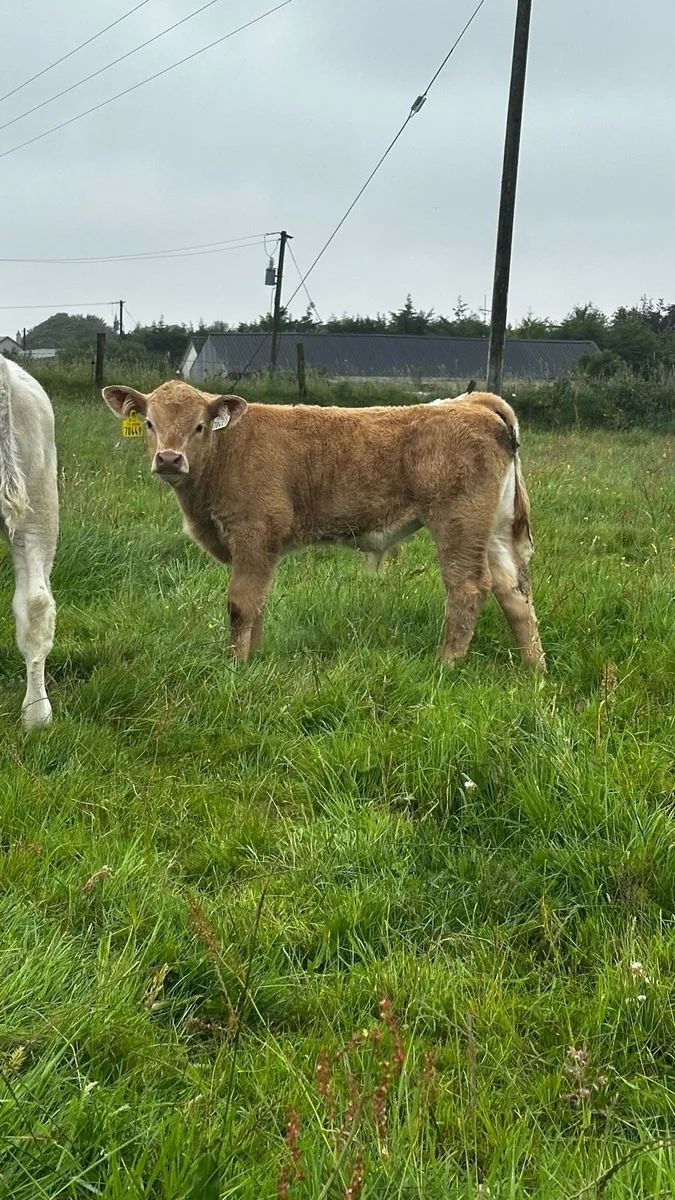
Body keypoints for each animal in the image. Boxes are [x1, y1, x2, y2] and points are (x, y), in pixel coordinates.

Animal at [102, 380, 545, 670]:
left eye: (198, 426)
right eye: (149, 423)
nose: (169, 459)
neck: (227, 451)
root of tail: (471, 403)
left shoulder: (254, 533)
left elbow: (241, 603)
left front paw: (236, 666)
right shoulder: (262, 549)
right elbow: (258, 602)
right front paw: (254, 659)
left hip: (459, 524)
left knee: (468, 588)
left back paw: (446, 665)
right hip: (493, 531)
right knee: (514, 590)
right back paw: (534, 671)